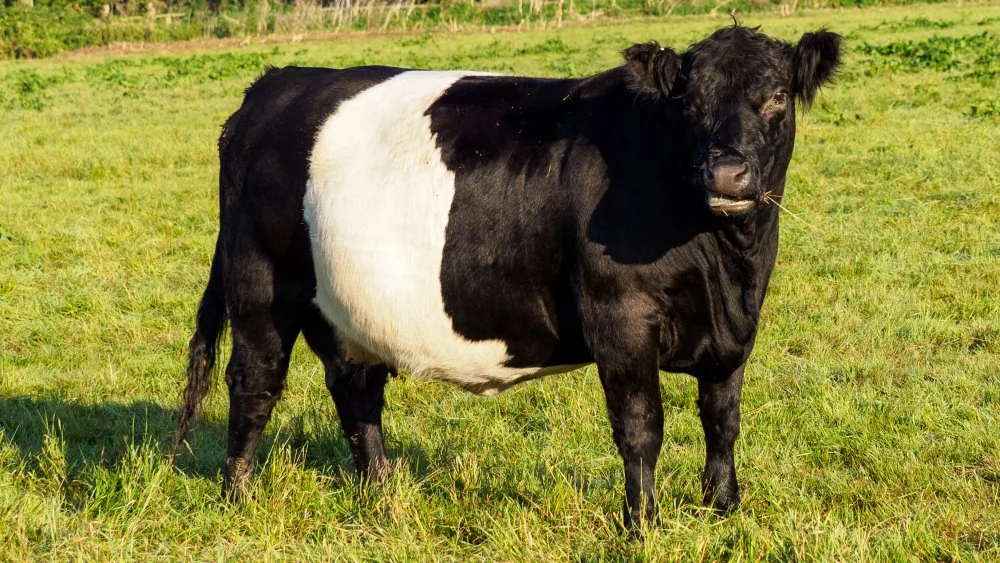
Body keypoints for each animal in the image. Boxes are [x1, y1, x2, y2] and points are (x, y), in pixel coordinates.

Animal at [173, 24, 841, 533]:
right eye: (690, 103)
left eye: (777, 96)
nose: (727, 173)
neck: (727, 264)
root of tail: (275, 83)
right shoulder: (620, 315)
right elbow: (641, 425)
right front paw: (643, 525)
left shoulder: (736, 327)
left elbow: (722, 417)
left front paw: (724, 507)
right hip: (261, 282)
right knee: (255, 383)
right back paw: (238, 496)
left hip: (346, 306)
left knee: (355, 388)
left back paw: (383, 494)